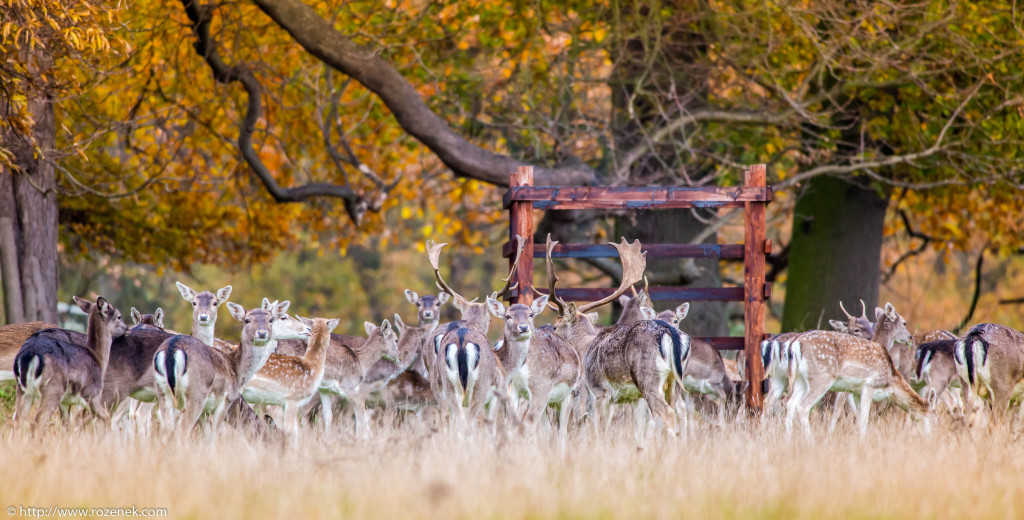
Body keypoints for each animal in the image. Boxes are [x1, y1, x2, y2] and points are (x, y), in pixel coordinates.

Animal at [12, 296, 126, 429]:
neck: (98, 359)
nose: (127, 329)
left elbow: (67, 426)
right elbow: (105, 418)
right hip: (52, 390)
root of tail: (29, 355)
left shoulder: (65, 402)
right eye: (119, 316)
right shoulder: (92, 394)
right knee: (37, 422)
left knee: (17, 420)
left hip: (23, 390)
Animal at [151, 300, 290, 434]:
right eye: (247, 320)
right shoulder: (225, 400)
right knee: (182, 429)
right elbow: (214, 433)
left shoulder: (205, 411)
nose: (262, 333)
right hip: (195, 394)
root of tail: (171, 350)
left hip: (163, 391)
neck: (236, 369)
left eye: (270, 319)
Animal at [483, 292, 581, 434]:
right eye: (508, 316)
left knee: (510, 423)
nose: (524, 327)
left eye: (531, 314)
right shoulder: (571, 392)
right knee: (530, 422)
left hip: (510, 389)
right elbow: (562, 431)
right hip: (540, 385)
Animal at [782, 302, 929, 436]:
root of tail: (795, 343)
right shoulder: (851, 388)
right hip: (821, 379)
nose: (910, 338)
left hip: (800, 380)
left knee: (790, 404)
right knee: (802, 406)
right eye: (904, 323)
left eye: (871, 324)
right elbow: (844, 411)